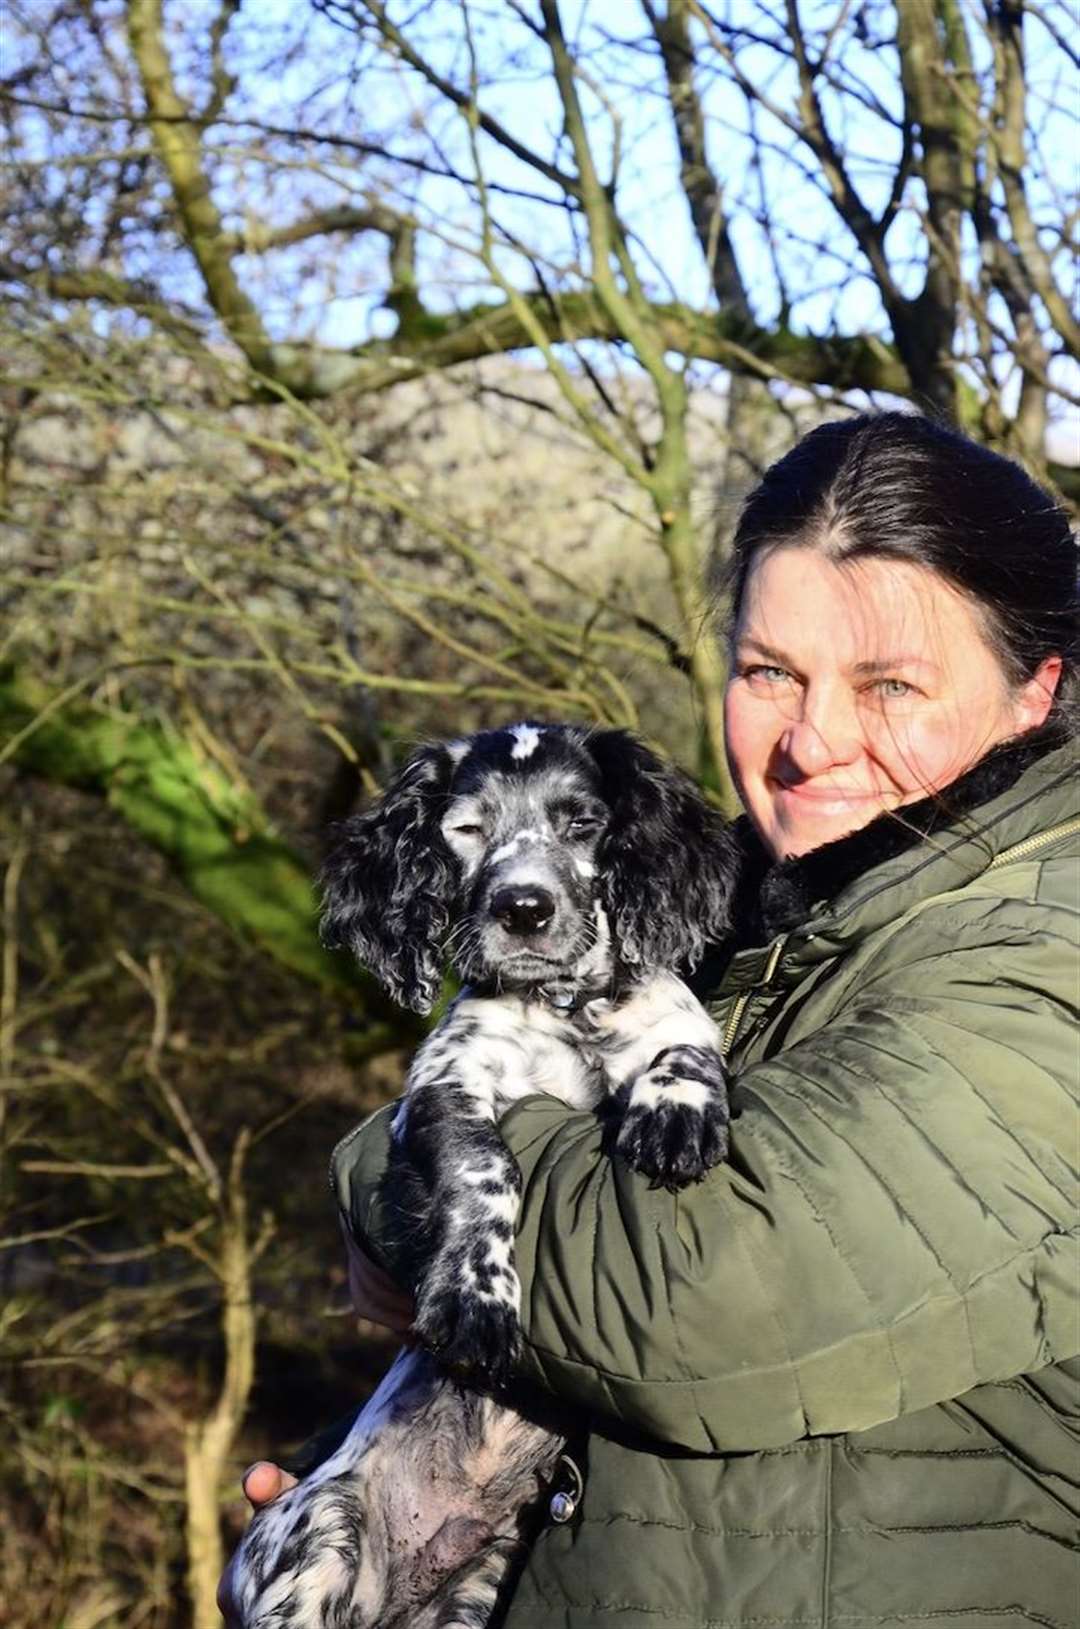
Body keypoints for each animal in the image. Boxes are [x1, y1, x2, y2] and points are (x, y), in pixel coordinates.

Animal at [224, 726, 739, 1629]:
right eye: (465, 829)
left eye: (581, 821)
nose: (522, 908)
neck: (564, 1007)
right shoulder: (443, 1083)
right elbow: (486, 1165)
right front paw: (476, 1300)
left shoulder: (658, 1015)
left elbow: (681, 1032)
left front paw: (676, 1108)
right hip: (315, 1535)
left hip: (477, 1588)